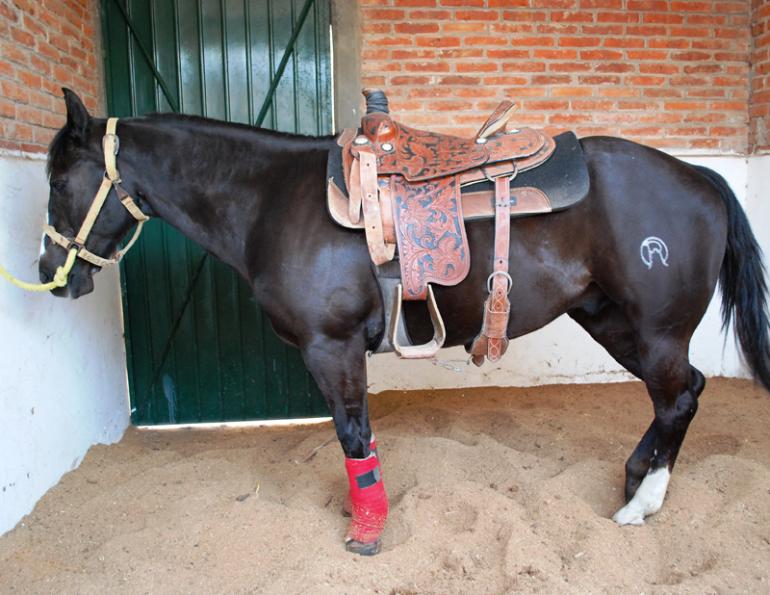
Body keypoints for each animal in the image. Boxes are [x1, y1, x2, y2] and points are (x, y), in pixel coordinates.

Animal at [40, 89, 770, 555]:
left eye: (58, 181)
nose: (53, 270)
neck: (271, 199)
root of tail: (699, 176)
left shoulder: (330, 348)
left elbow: (353, 435)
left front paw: (367, 531)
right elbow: (356, 434)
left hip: (654, 329)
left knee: (677, 398)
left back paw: (642, 502)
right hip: (612, 321)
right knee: (682, 393)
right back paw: (637, 476)